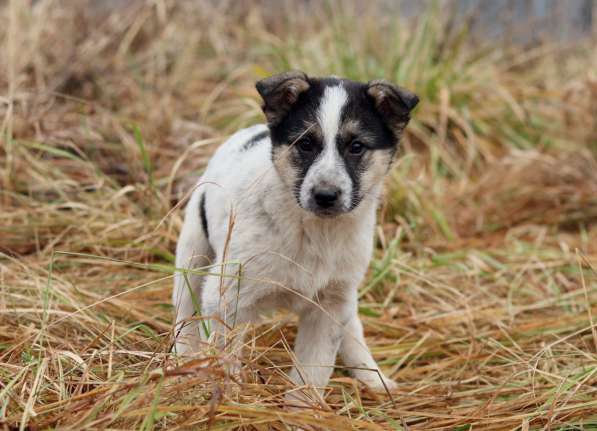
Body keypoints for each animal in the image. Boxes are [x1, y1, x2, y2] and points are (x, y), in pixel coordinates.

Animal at [170, 71, 416, 398]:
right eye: (306, 143)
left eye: (357, 147)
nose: (325, 195)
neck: (315, 231)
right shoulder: (227, 296)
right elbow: (226, 357)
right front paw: (229, 397)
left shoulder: (330, 304)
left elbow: (313, 370)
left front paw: (304, 405)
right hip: (193, 254)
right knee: (185, 313)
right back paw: (182, 361)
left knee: (353, 327)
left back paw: (372, 376)